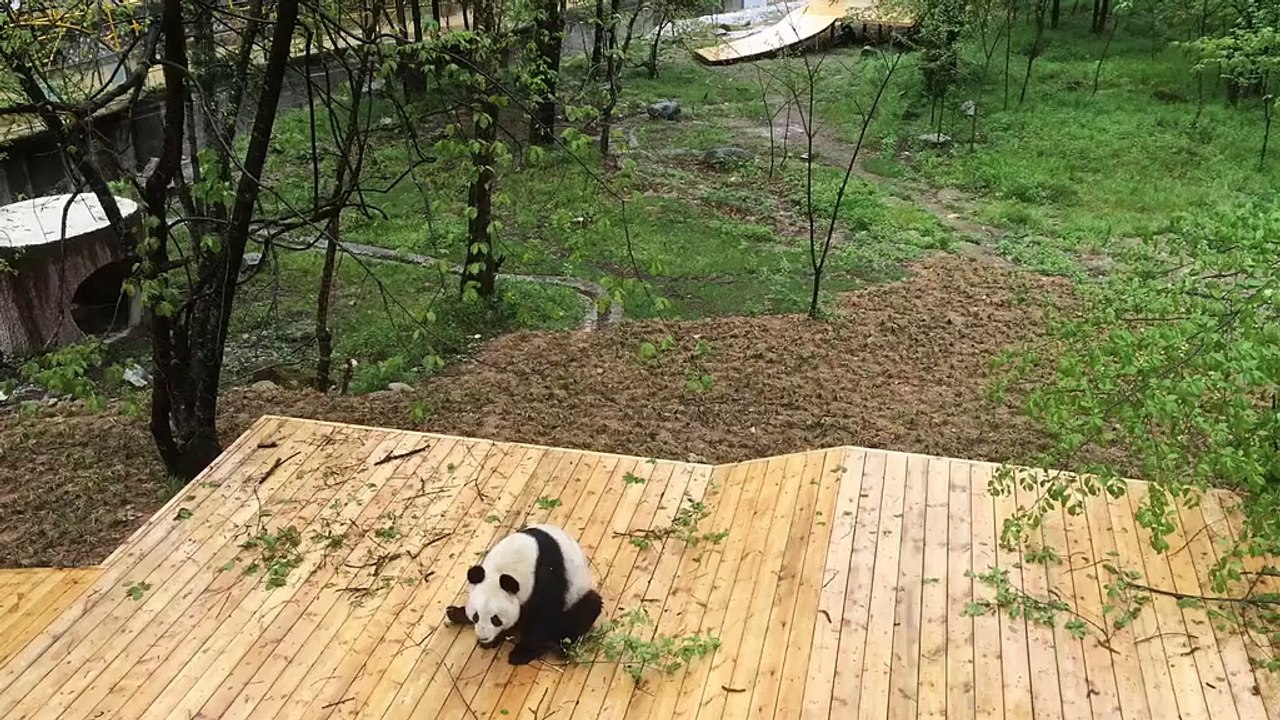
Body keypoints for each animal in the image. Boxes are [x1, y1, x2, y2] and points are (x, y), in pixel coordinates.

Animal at [445, 523, 604, 665]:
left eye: (495, 619)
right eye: (476, 616)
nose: (484, 637)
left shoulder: (545, 580)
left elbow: (542, 618)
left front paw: (520, 654)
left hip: (576, 593)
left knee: (586, 608)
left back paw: (561, 645)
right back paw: (454, 613)